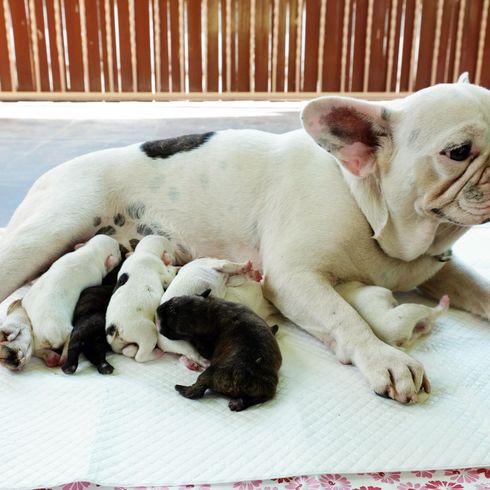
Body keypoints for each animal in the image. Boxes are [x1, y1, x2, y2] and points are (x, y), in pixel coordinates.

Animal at [22, 234, 122, 368]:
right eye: (118, 250)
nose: (120, 246)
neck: (91, 252)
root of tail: (48, 334)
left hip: (36, 336)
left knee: (37, 349)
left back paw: (50, 357)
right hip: (66, 330)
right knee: (69, 340)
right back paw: (63, 358)